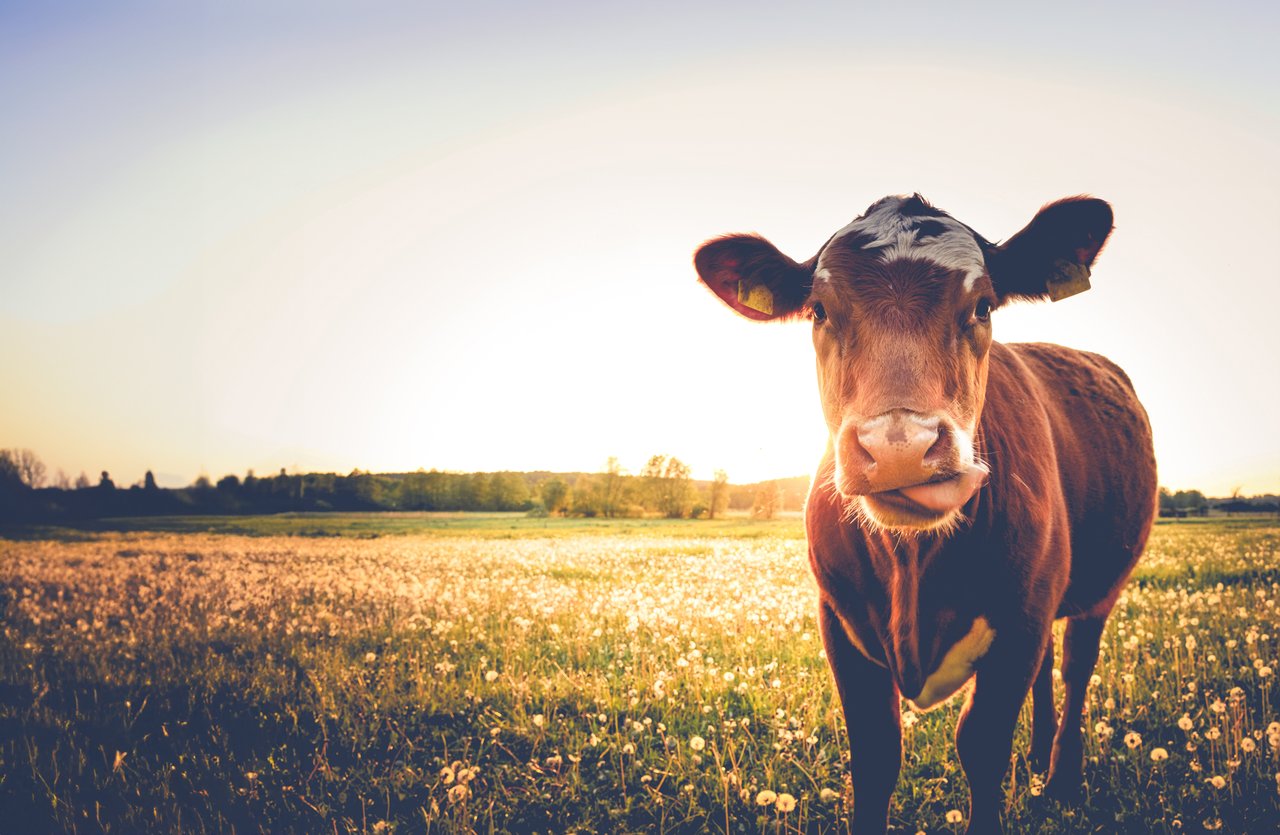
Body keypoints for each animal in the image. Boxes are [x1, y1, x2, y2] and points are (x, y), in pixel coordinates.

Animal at [696, 197, 1157, 835]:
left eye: (983, 305)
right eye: (819, 310)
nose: (899, 447)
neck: (913, 566)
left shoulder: (1020, 621)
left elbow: (982, 746)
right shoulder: (839, 622)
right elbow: (875, 754)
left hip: (1098, 590)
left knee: (1075, 667)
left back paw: (1061, 778)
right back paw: (1037, 757)